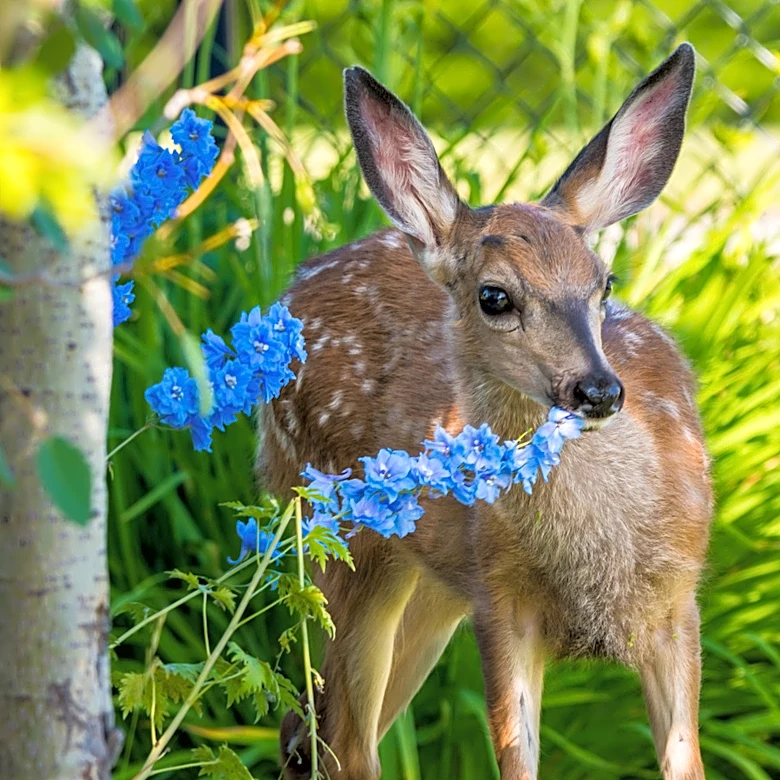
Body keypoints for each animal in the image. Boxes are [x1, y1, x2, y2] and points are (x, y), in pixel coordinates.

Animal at [260, 42, 712, 780]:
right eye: (495, 297)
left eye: (605, 283)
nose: (598, 391)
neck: (601, 561)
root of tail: (292, 288)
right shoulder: (501, 603)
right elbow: (515, 759)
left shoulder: (678, 603)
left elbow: (684, 761)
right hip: (336, 532)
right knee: (344, 741)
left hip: (430, 583)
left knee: (308, 729)